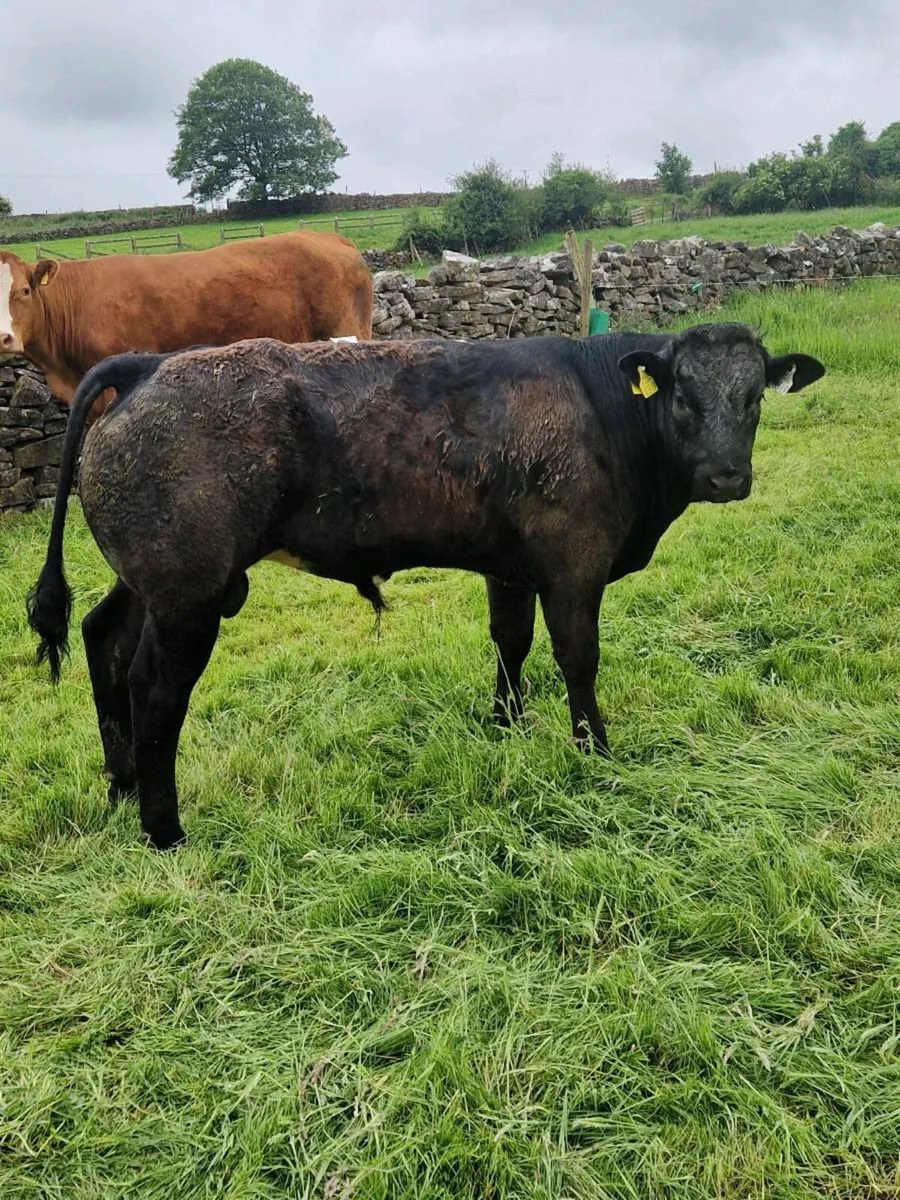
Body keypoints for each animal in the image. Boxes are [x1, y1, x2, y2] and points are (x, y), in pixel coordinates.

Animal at [27, 324, 825, 850]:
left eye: (754, 396)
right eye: (684, 396)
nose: (726, 476)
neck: (603, 408)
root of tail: (148, 366)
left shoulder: (511, 566)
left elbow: (510, 642)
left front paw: (506, 725)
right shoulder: (573, 564)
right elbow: (577, 657)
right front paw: (595, 750)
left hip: (152, 585)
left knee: (102, 640)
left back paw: (121, 783)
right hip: (188, 596)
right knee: (155, 690)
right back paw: (164, 827)